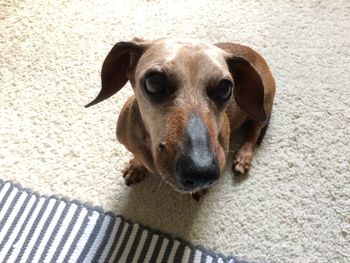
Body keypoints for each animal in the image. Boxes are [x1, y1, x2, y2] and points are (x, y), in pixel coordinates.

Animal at [85, 38, 276, 200]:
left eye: (225, 88)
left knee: (255, 130)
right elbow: (137, 156)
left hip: (262, 105)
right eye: (154, 81)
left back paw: (244, 156)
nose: (201, 173)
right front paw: (136, 167)